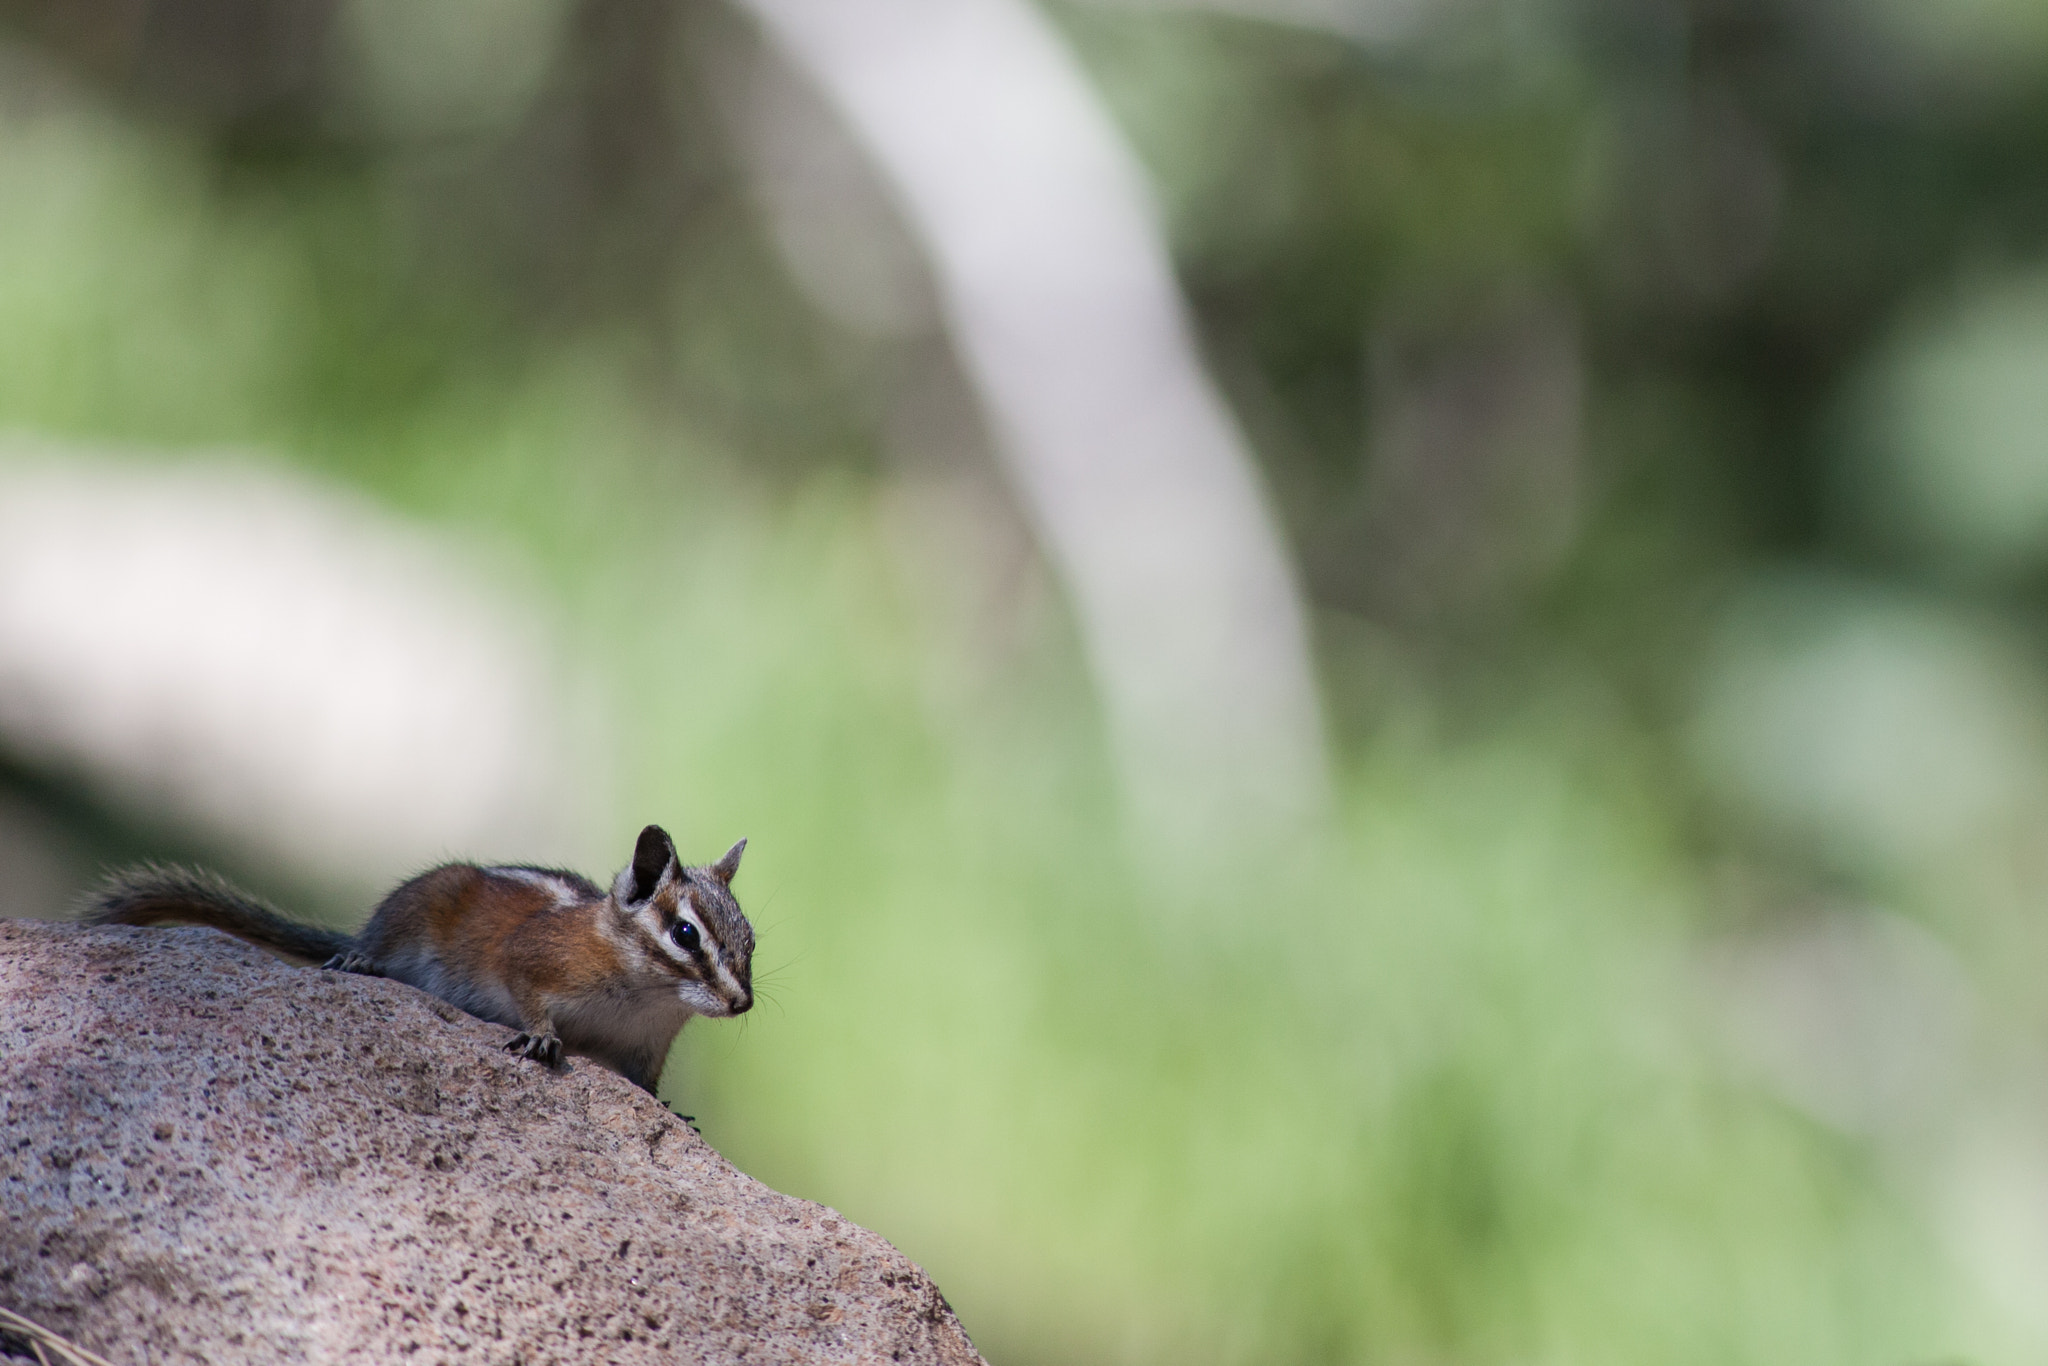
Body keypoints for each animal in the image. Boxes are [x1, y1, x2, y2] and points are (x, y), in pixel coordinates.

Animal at [85, 824, 753, 1096]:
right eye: (685, 934)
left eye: (749, 940)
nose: (742, 1002)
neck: (645, 996)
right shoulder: (533, 958)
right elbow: (529, 996)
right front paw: (542, 1037)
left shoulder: (648, 1046)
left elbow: (646, 1085)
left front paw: (671, 1108)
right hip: (418, 909)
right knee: (374, 946)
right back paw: (360, 959)